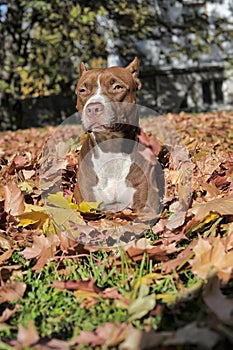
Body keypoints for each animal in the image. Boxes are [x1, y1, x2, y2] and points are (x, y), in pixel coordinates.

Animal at [73, 57, 163, 216]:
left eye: (117, 87)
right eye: (82, 90)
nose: (93, 108)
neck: (111, 148)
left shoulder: (147, 208)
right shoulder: (87, 205)